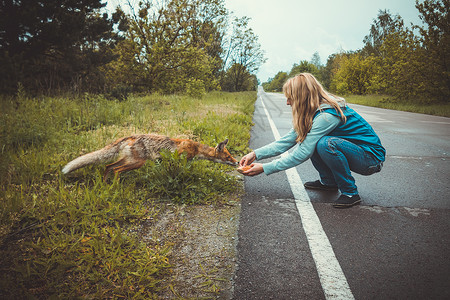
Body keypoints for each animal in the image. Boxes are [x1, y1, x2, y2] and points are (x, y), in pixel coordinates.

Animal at [64, 134, 239, 180]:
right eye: (228, 156)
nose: (237, 162)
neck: (196, 148)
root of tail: (131, 136)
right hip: (137, 163)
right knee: (116, 170)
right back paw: (115, 187)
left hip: (129, 160)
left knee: (108, 167)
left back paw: (105, 185)